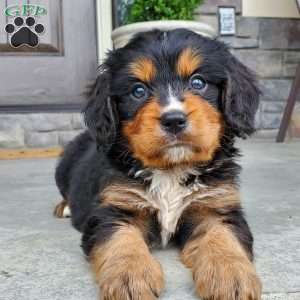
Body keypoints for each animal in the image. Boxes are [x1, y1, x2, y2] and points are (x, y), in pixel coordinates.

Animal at [55, 29, 262, 300]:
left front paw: (230, 275)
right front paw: (130, 276)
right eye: (138, 91)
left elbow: (223, 237)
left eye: (198, 82)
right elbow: (120, 239)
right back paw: (64, 207)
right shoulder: (114, 208)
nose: (173, 120)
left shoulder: (215, 206)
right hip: (62, 165)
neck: (171, 169)